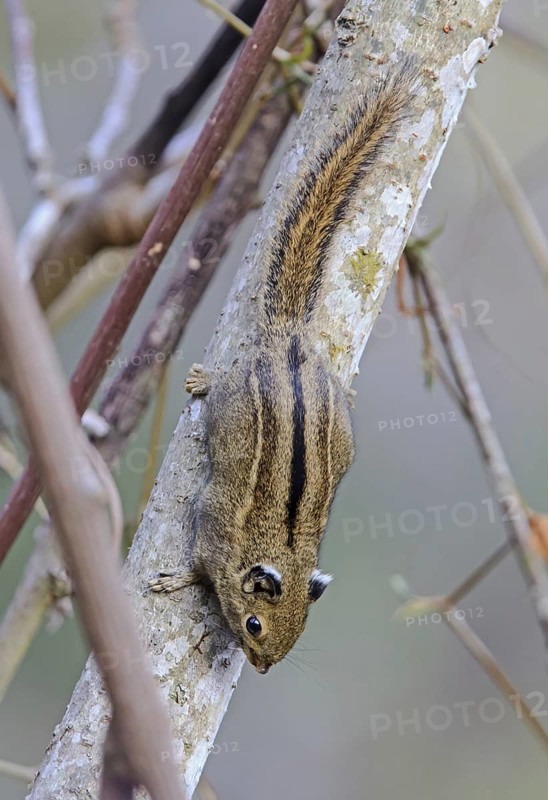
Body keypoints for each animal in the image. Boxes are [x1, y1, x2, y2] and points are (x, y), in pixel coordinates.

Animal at [150, 62, 416, 674]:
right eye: (254, 623)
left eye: (300, 633)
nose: (265, 666)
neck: (279, 548)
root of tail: (290, 340)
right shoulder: (213, 527)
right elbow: (197, 566)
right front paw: (176, 581)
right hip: (235, 396)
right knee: (221, 384)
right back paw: (203, 379)